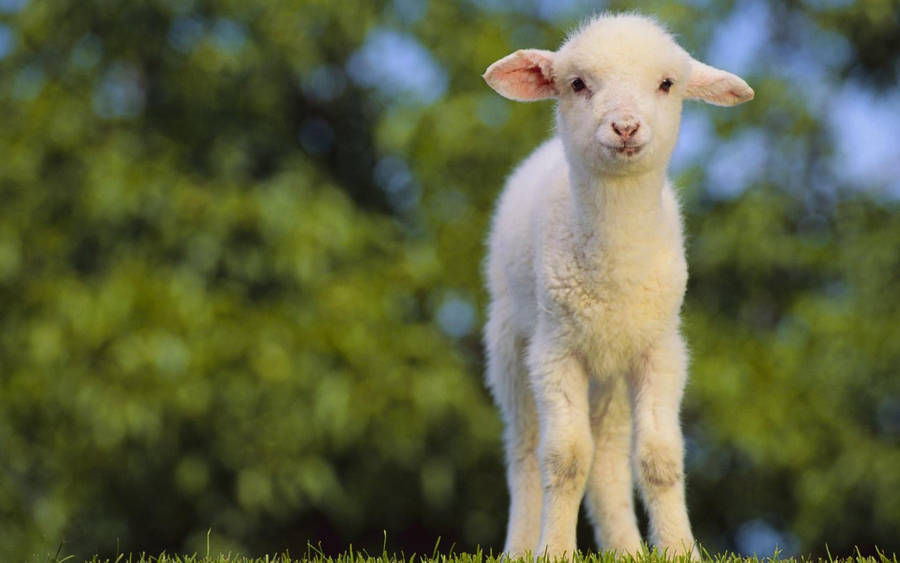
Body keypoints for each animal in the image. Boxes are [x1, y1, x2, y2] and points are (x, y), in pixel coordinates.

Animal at [481, 13, 753, 560]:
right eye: (577, 84)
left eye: (667, 84)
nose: (625, 126)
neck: (616, 270)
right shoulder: (555, 351)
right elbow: (564, 458)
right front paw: (555, 550)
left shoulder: (660, 349)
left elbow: (659, 458)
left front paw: (681, 550)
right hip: (509, 345)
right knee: (524, 451)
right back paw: (520, 547)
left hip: (611, 371)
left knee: (607, 457)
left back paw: (626, 548)